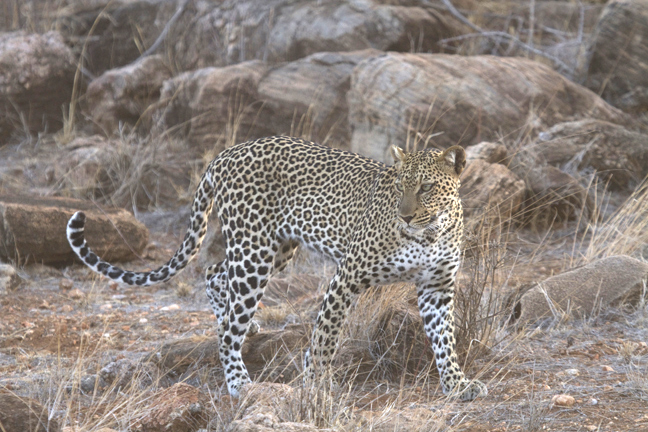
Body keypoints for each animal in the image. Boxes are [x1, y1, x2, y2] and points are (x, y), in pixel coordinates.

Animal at [66, 136, 487, 401]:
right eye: (399, 186)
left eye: (427, 187)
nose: (406, 215)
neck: (429, 233)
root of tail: (226, 153)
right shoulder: (347, 277)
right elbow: (326, 335)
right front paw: (317, 383)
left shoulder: (437, 288)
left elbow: (444, 339)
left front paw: (458, 384)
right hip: (254, 252)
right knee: (226, 321)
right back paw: (240, 381)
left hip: (275, 249)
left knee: (214, 274)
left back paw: (241, 323)